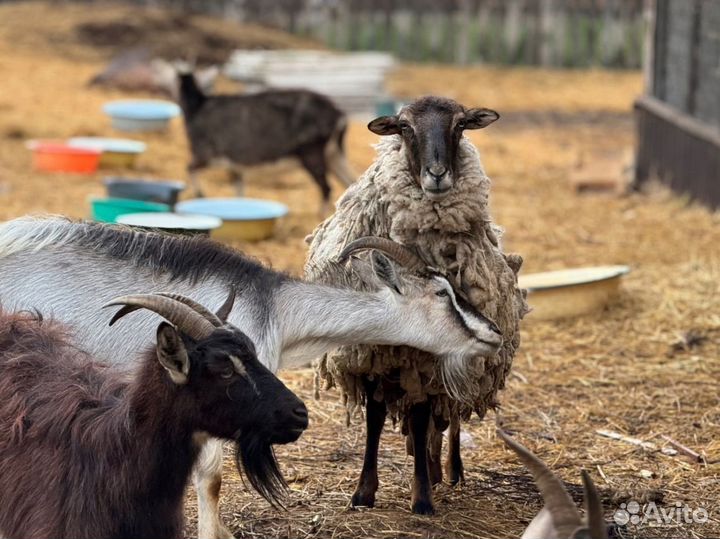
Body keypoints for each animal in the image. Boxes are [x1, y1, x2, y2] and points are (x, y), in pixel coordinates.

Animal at [178, 72, 355, 214]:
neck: (197, 109)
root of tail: (338, 115)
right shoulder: (235, 166)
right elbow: (239, 190)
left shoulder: (208, 154)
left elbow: (189, 168)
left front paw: (200, 195)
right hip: (334, 153)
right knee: (350, 182)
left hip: (312, 152)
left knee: (326, 188)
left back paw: (320, 215)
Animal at [306, 96, 525, 514]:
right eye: (405, 128)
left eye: (460, 125)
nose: (437, 175)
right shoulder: (373, 356)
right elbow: (375, 418)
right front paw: (364, 492)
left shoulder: (427, 361)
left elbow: (424, 416)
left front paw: (422, 496)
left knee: (446, 416)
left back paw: (447, 469)